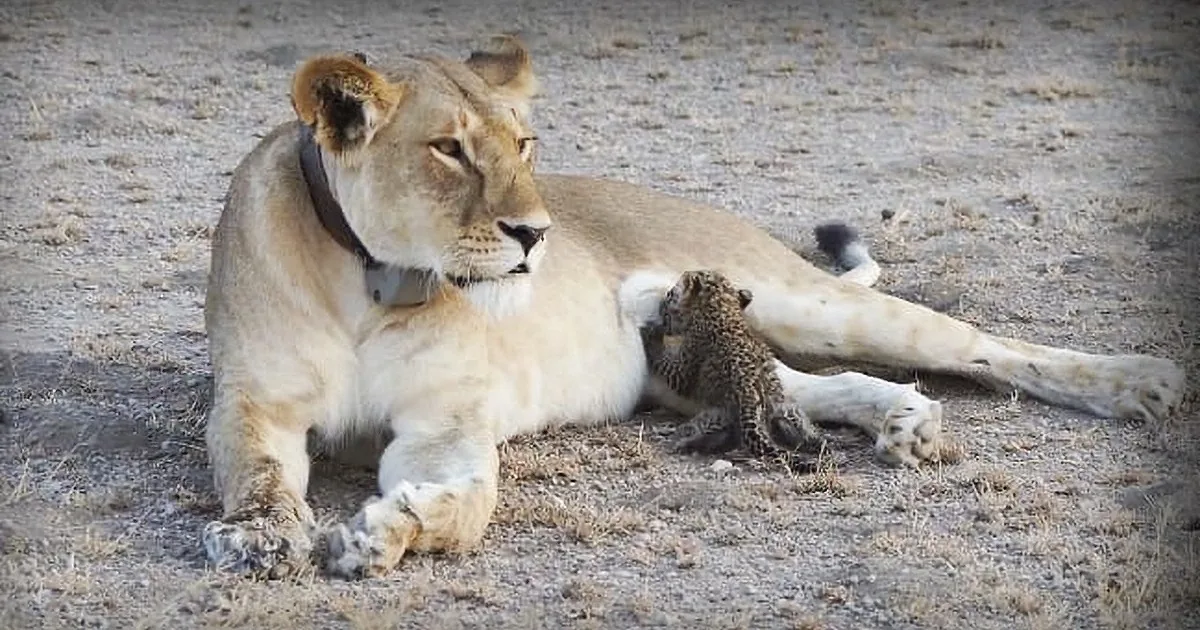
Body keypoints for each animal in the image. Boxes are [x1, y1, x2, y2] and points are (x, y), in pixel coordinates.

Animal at [201, 36, 1185, 580]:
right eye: (448, 150)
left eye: (525, 143)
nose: (537, 234)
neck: (376, 280)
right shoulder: (253, 402)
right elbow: (257, 472)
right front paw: (259, 540)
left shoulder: (445, 424)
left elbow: (468, 503)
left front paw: (384, 534)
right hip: (690, 362)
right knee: (802, 386)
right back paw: (905, 421)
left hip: (800, 299)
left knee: (976, 344)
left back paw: (1138, 383)